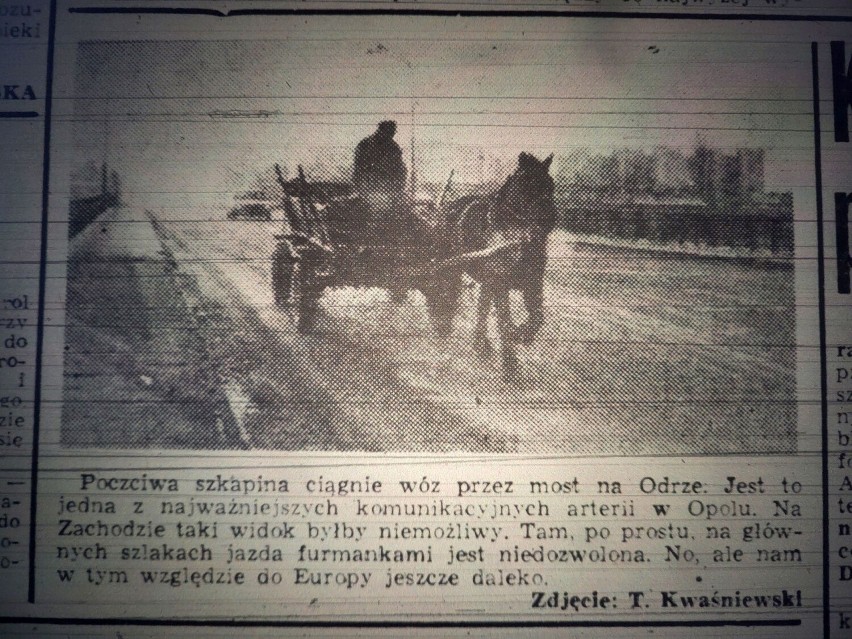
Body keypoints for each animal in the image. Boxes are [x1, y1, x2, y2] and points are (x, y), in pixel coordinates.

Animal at [440, 152, 560, 382]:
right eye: (528, 184)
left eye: (551, 184)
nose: (550, 219)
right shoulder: (500, 283)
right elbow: (504, 321)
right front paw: (510, 364)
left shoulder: (532, 283)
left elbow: (537, 317)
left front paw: (522, 335)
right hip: (455, 270)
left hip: (486, 281)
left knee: (482, 307)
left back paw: (482, 345)